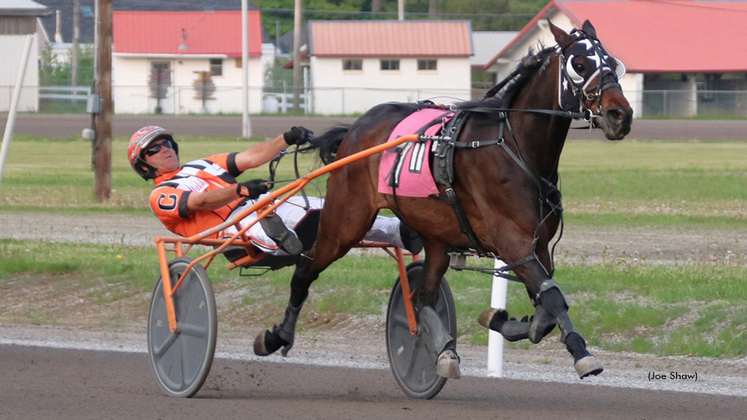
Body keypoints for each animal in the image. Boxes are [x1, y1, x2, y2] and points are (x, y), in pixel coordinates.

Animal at [256, 21, 632, 378]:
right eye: (579, 64)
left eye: (613, 63)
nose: (620, 115)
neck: (515, 148)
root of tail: (355, 128)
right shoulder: (513, 243)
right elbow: (552, 298)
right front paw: (583, 355)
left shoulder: (538, 246)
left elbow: (545, 311)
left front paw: (500, 319)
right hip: (345, 223)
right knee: (305, 271)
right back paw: (277, 336)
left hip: (434, 237)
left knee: (422, 297)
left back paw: (443, 350)